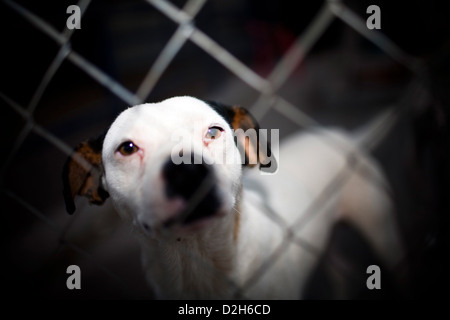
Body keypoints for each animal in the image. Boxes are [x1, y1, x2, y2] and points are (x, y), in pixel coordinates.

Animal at [61, 95, 402, 300]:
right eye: (127, 148)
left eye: (213, 132)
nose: (188, 172)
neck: (198, 260)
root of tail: (345, 136)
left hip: (382, 234)